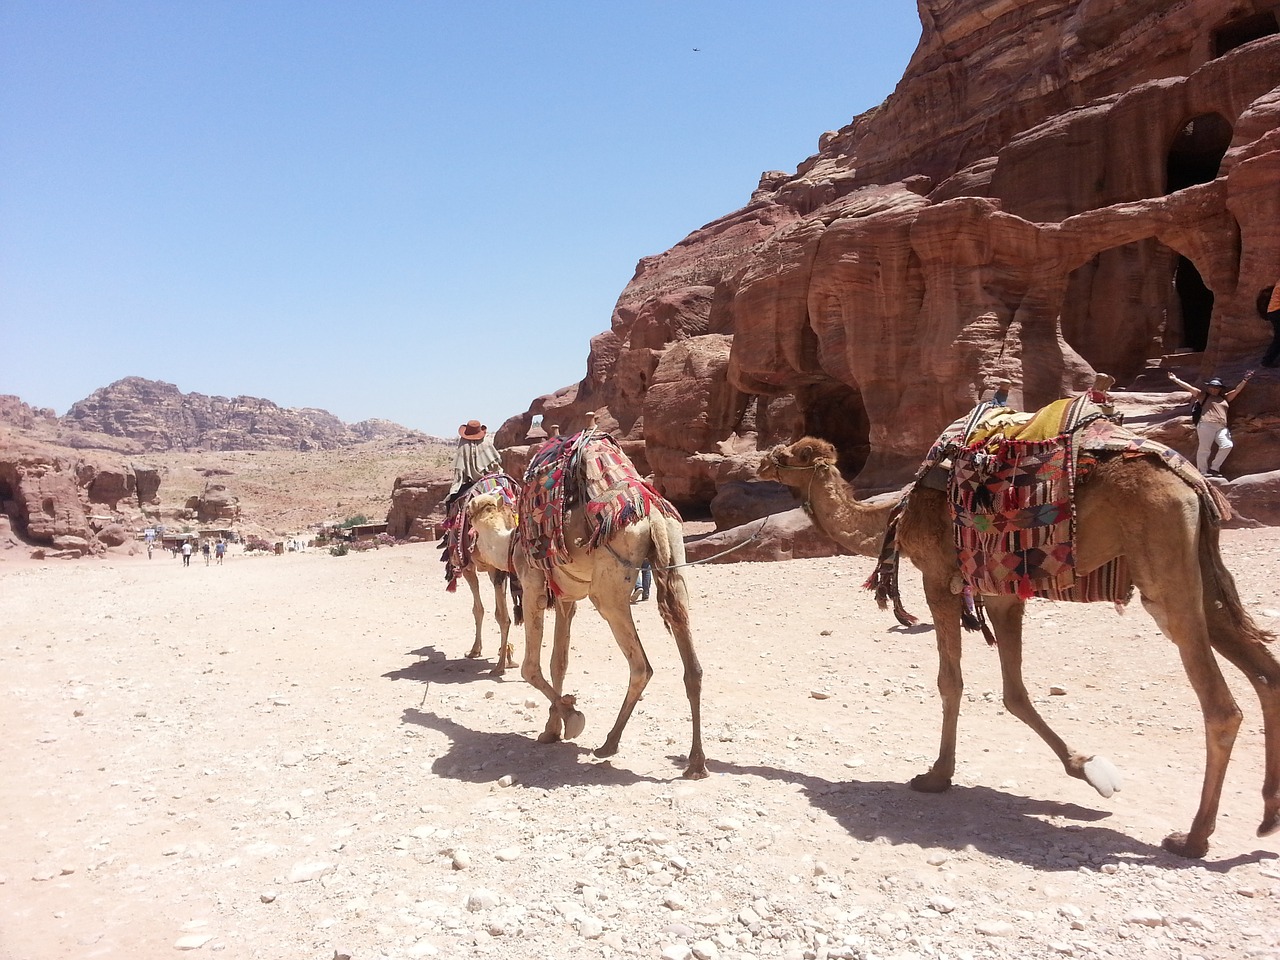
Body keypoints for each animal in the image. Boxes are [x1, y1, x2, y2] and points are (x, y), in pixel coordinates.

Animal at [757, 435, 1280, 855]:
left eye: (789, 454)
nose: (760, 464)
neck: (895, 518)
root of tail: (1192, 484)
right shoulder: (1001, 595)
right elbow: (1015, 693)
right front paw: (1085, 767)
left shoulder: (938, 580)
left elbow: (950, 681)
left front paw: (936, 776)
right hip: (1202, 578)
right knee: (1265, 674)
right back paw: (1267, 817)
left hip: (1163, 571)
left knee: (1221, 705)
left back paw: (1192, 838)